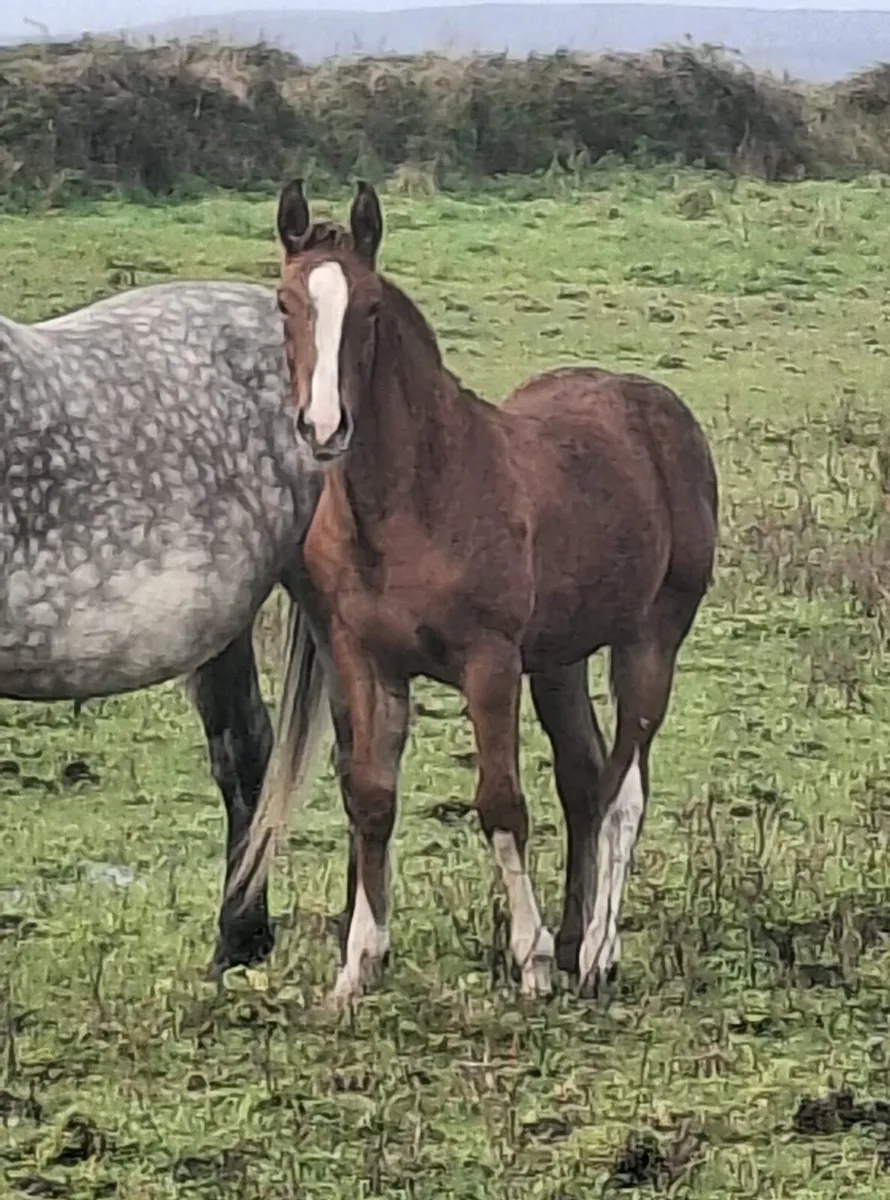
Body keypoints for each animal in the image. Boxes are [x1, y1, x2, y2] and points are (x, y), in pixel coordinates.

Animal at [233, 180, 719, 1006]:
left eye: (369, 309)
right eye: (283, 302)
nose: (323, 428)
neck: (416, 499)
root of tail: (663, 412)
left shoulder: (489, 665)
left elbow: (500, 804)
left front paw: (529, 963)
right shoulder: (365, 659)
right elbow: (371, 798)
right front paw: (357, 967)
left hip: (650, 639)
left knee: (624, 789)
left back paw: (595, 954)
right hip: (559, 659)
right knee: (585, 779)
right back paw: (575, 941)